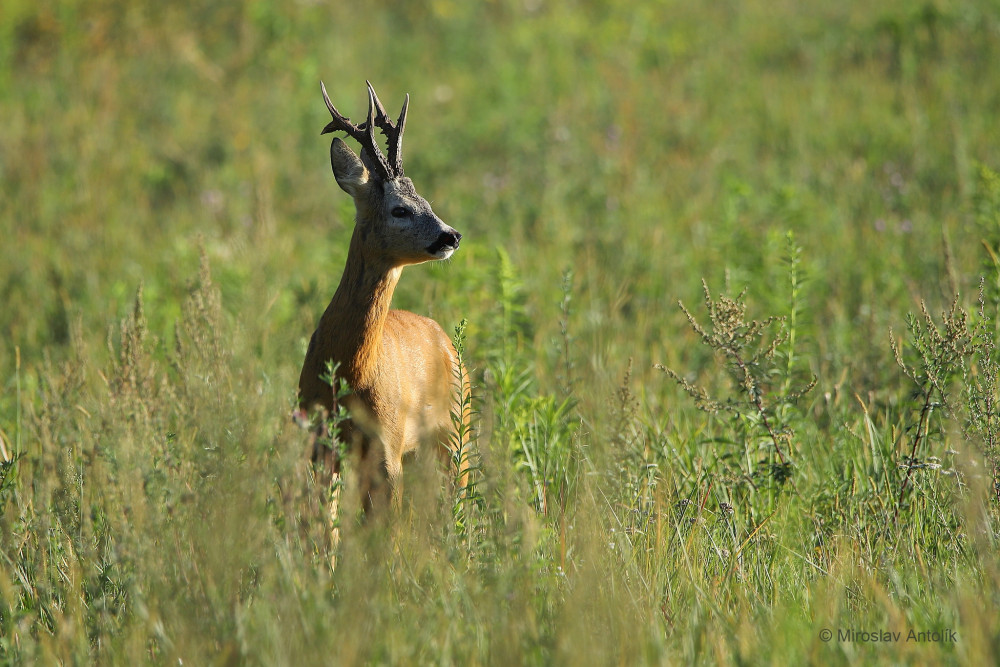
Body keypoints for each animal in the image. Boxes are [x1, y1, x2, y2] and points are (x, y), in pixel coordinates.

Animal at [296, 82, 468, 520]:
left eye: (427, 201)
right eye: (400, 209)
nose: (452, 235)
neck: (350, 371)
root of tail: (443, 336)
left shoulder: (386, 443)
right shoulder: (317, 441)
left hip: (455, 429)